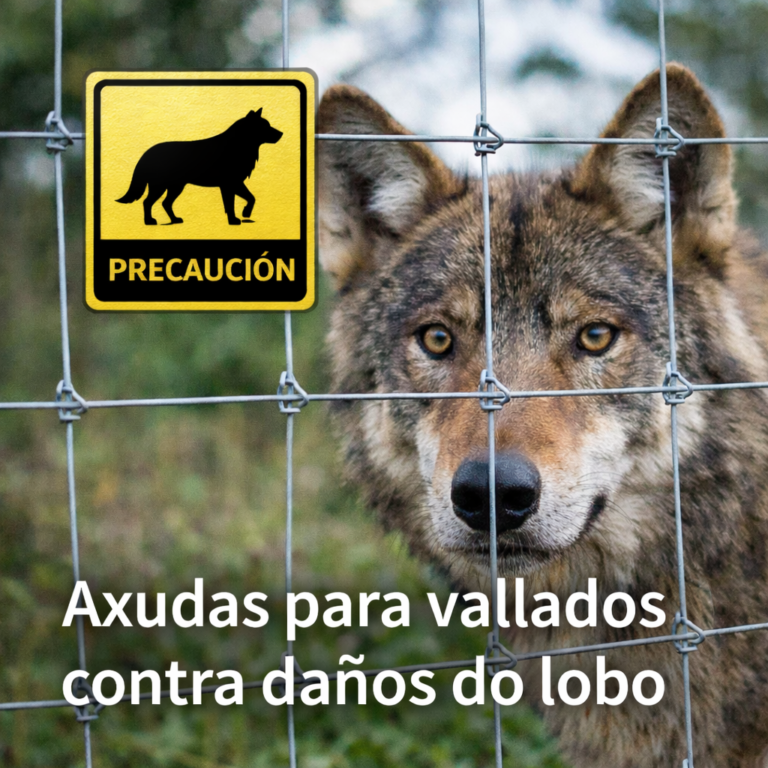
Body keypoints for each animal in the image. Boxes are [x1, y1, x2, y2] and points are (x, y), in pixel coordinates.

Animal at [116, 109, 283, 226]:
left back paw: (174, 219)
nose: (281, 133)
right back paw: (149, 221)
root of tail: (148, 152)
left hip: (176, 186)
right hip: (161, 186)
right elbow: (232, 204)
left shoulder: (235, 183)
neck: (239, 145)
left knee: (165, 203)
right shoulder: (229, 184)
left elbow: (250, 198)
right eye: (264, 127)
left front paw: (244, 214)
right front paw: (234, 220)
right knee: (148, 202)